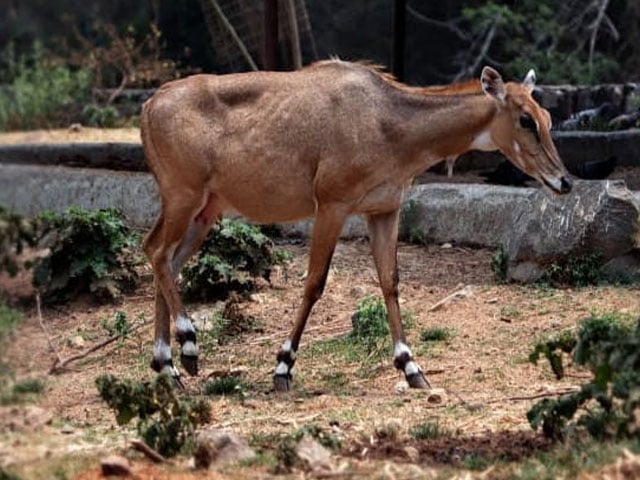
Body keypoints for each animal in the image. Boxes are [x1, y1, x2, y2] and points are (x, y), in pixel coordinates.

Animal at [142, 59, 572, 390]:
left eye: (548, 117)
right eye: (525, 119)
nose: (564, 181)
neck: (388, 121)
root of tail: (149, 104)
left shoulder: (383, 210)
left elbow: (390, 281)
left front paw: (411, 367)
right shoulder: (332, 205)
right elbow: (314, 283)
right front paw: (283, 366)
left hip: (205, 211)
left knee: (167, 261)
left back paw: (168, 367)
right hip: (183, 195)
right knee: (156, 251)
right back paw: (188, 345)